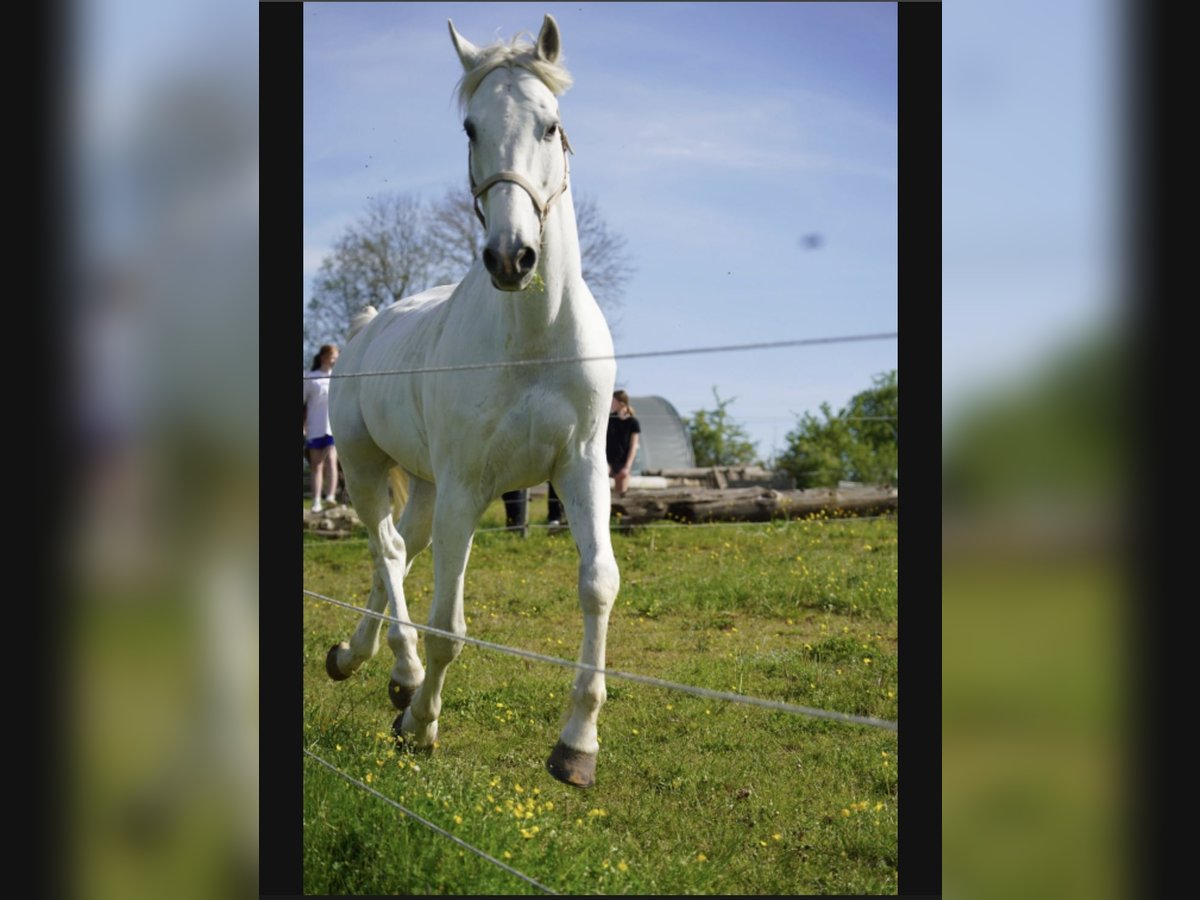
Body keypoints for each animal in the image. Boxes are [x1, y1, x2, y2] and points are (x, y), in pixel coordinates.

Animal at [326, 14, 619, 787]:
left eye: (551, 124)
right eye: (469, 126)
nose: (511, 257)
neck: (533, 340)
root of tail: (366, 328)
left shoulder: (582, 469)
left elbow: (597, 584)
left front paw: (577, 745)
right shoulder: (469, 487)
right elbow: (448, 626)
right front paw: (419, 726)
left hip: (426, 486)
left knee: (396, 550)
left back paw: (365, 659)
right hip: (367, 471)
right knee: (388, 549)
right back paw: (395, 671)